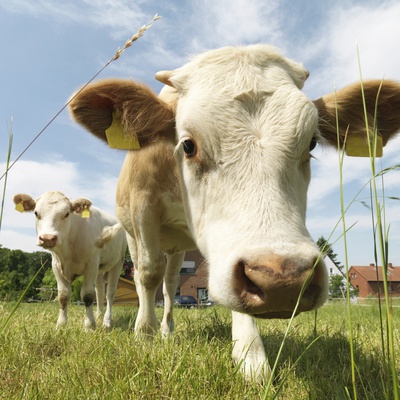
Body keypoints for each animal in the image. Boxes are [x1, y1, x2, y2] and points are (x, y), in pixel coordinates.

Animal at [13, 192, 126, 330]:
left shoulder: (91, 264)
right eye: (36, 213)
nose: (47, 238)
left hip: (118, 263)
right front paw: (61, 324)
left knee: (110, 293)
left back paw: (107, 321)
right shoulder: (56, 266)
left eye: (67, 213)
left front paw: (89, 326)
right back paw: (99, 316)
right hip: (100, 270)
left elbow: (87, 296)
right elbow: (63, 295)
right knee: (99, 291)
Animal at [67, 44, 400, 382]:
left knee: (171, 282)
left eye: (311, 143)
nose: (284, 280)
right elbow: (147, 274)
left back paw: (168, 330)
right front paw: (144, 336)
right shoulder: (142, 208)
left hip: (178, 248)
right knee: (145, 276)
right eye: (188, 145)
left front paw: (251, 355)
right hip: (133, 235)